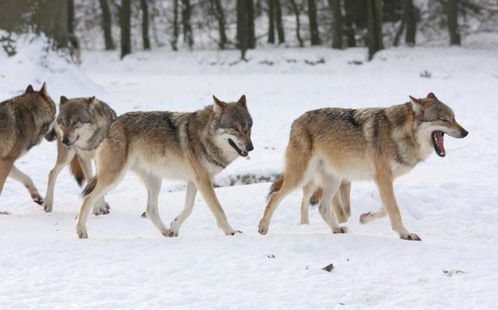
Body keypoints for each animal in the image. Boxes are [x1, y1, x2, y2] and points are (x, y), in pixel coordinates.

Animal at [76, 95, 255, 239]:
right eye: (235, 129)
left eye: (248, 128)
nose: (250, 147)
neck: (204, 137)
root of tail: (113, 122)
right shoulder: (204, 181)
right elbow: (218, 209)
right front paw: (231, 232)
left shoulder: (195, 180)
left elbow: (189, 207)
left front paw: (174, 226)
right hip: (114, 177)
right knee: (87, 199)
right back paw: (81, 231)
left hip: (154, 181)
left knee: (150, 209)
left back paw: (166, 232)